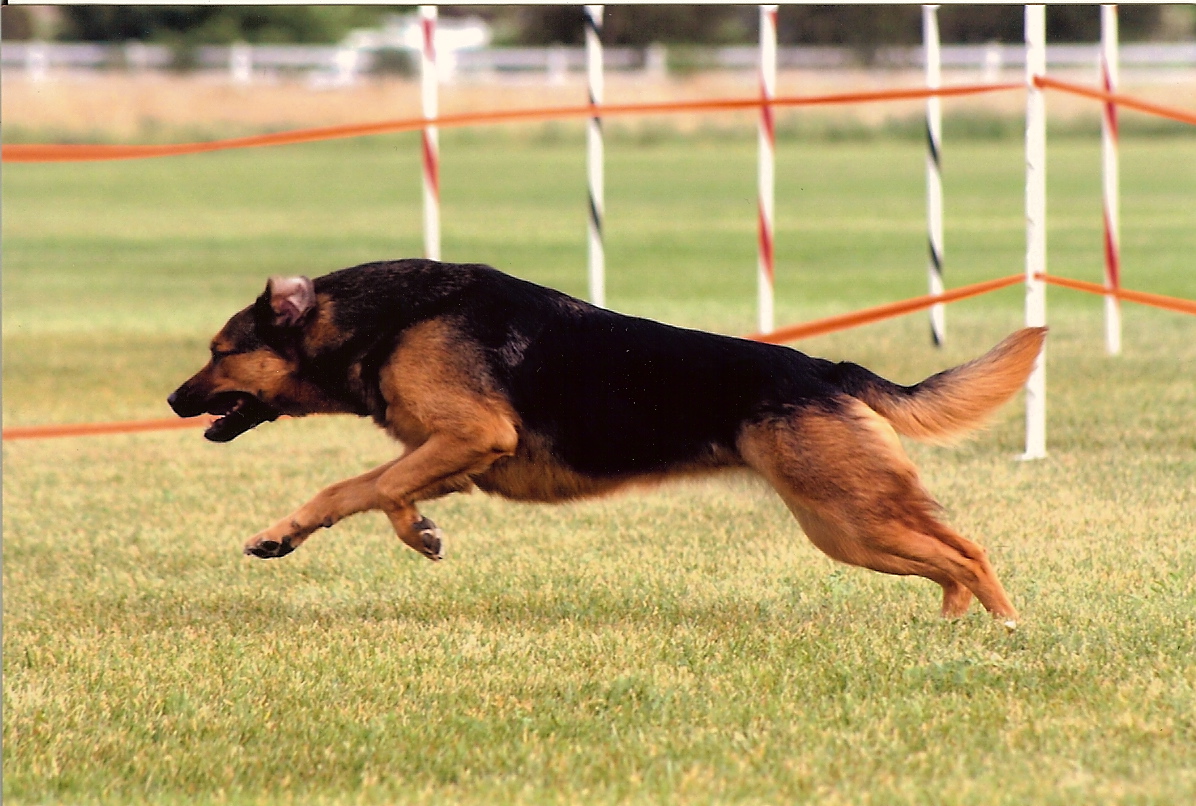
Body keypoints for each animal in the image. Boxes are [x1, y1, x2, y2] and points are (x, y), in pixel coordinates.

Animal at [171, 259, 1047, 621]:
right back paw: (953, 626)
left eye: (219, 350)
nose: (174, 399)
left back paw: (1004, 632)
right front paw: (392, 533)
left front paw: (385, 532)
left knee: (968, 551)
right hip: (846, 528)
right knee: (947, 559)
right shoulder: (452, 454)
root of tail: (826, 369)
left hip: (849, 517)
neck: (389, 320)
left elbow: (369, 487)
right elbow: (367, 490)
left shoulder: (473, 434)